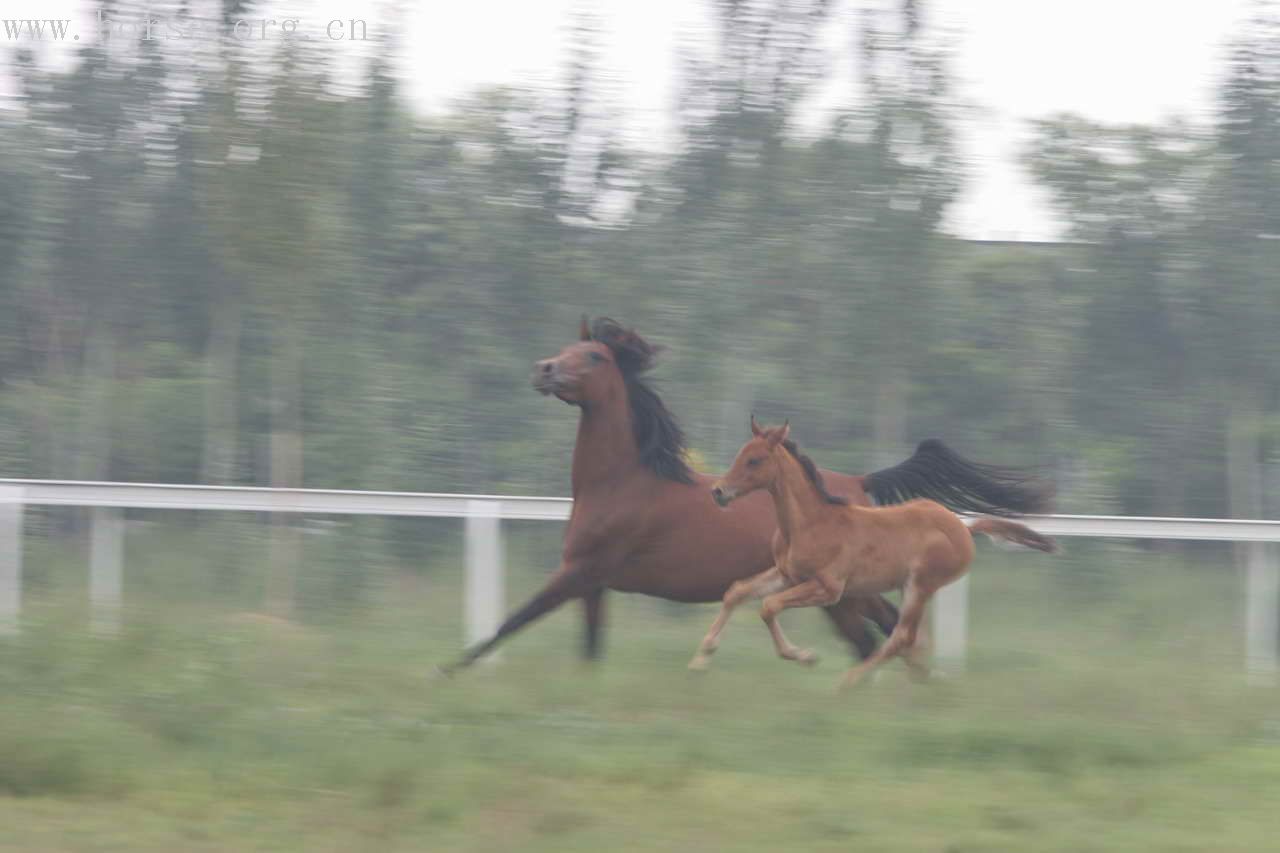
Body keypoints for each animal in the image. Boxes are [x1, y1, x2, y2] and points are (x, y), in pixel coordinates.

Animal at [696, 417, 1054, 691]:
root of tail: (964, 528)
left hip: (920, 585)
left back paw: (852, 681)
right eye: (741, 455)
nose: (718, 491)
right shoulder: (787, 575)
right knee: (911, 638)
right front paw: (701, 657)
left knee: (901, 637)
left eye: (754, 460)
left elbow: (769, 606)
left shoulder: (829, 588)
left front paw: (805, 656)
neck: (810, 522)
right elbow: (737, 591)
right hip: (910, 588)